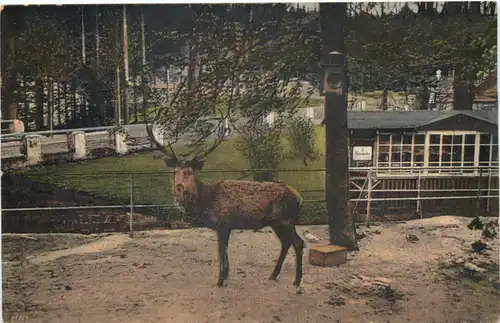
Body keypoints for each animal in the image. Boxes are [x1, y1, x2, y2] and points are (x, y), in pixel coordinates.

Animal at [145, 121, 306, 288]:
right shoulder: (227, 227)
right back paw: (274, 275)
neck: (205, 202)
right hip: (277, 223)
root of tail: (299, 198)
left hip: (285, 220)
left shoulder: (222, 224)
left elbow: (221, 252)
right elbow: (225, 251)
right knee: (286, 243)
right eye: (176, 171)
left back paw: (297, 280)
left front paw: (220, 280)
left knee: (298, 243)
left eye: (191, 172)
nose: (182, 189)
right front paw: (226, 274)